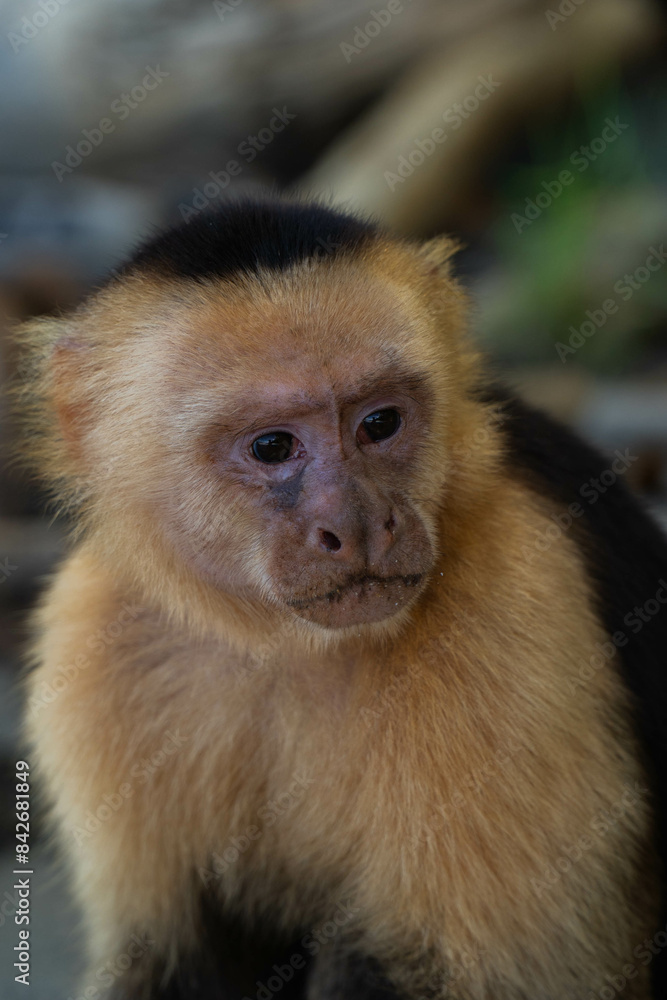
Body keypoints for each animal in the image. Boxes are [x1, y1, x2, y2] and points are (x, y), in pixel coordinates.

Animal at [12, 195, 667, 1000]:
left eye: (378, 423)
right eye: (272, 447)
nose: (355, 525)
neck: (287, 643)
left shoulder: (516, 589)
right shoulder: (93, 631)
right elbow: (166, 955)